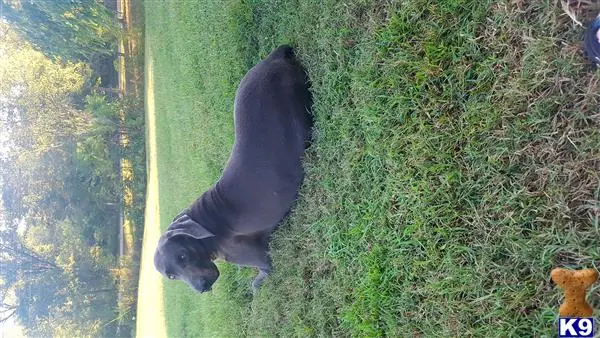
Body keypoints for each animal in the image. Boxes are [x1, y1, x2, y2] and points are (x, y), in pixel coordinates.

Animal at [152, 45, 314, 294]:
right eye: (171, 276)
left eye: (182, 256)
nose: (201, 288)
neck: (209, 229)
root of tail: (273, 57)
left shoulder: (261, 259)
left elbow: (259, 278)